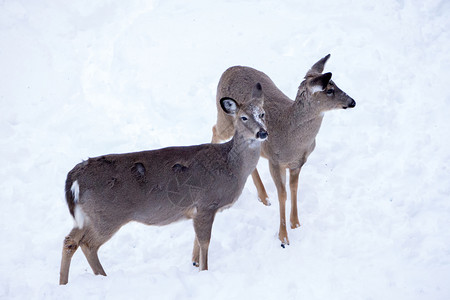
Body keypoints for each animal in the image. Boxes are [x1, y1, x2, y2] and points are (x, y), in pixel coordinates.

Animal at [57, 83, 266, 284]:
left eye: (262, 114)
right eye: (244, 117)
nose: (262, 132)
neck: (231, 165)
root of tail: (75, 175)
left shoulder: (197, 210)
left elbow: (197, 242)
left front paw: (195, 264)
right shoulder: (206, 203)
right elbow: (205, 242)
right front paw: (204, 272)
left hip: (88, 215)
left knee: (70, 240)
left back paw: (64, 283)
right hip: (107, 215)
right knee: (88, 244)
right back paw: (102, 277)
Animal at [211, 54, 356, 246]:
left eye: (335, 84)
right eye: (329, 90)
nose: (352, 101)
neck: (292, 139)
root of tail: (230, 68)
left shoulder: (298, 163)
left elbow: (294, 189)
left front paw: (295, 223)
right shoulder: (275, 160)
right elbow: (283, 194)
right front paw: (284, 237)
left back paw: (264, 197)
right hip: (224, 119)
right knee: (214, 130)